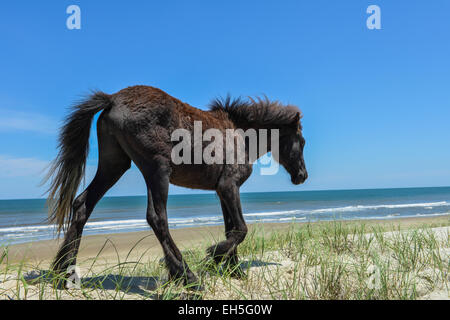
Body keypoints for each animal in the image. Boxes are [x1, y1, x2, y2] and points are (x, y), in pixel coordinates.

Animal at [45, 84, 308, 288]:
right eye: (302, 141)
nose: (302, 176)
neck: (240, 135)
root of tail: (113, 99)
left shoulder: (222, 191)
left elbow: (231, 228)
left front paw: (234, 270)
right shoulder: (229, 186)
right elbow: (241, 229)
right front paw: (214, 255)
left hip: (114, 165)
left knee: (82, 205)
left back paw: (64, 273)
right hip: (157, 169)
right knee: (157, 217)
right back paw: (187, 277)